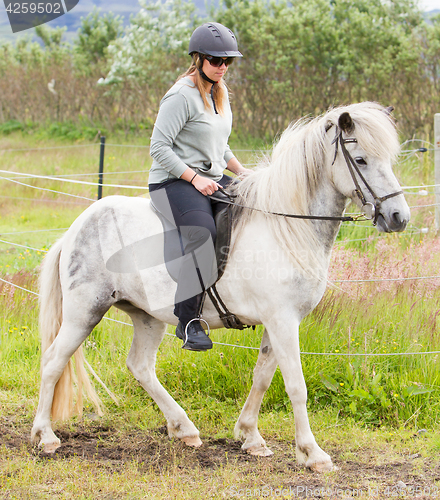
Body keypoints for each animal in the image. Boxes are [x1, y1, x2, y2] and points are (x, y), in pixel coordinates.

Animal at [30, 103, 410, 470]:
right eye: (360, 159)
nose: (399, 218)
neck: (286, 228)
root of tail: (77, 226)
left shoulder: (277, 323)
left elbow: (262, 377)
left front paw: (251, 437)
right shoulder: (283, 321)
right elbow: (295, 385)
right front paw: (312, 453)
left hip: (146, 316)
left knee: (140, 366)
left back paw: (184, 429)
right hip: (84, 312)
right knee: (53, 361)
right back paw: (45, 436)